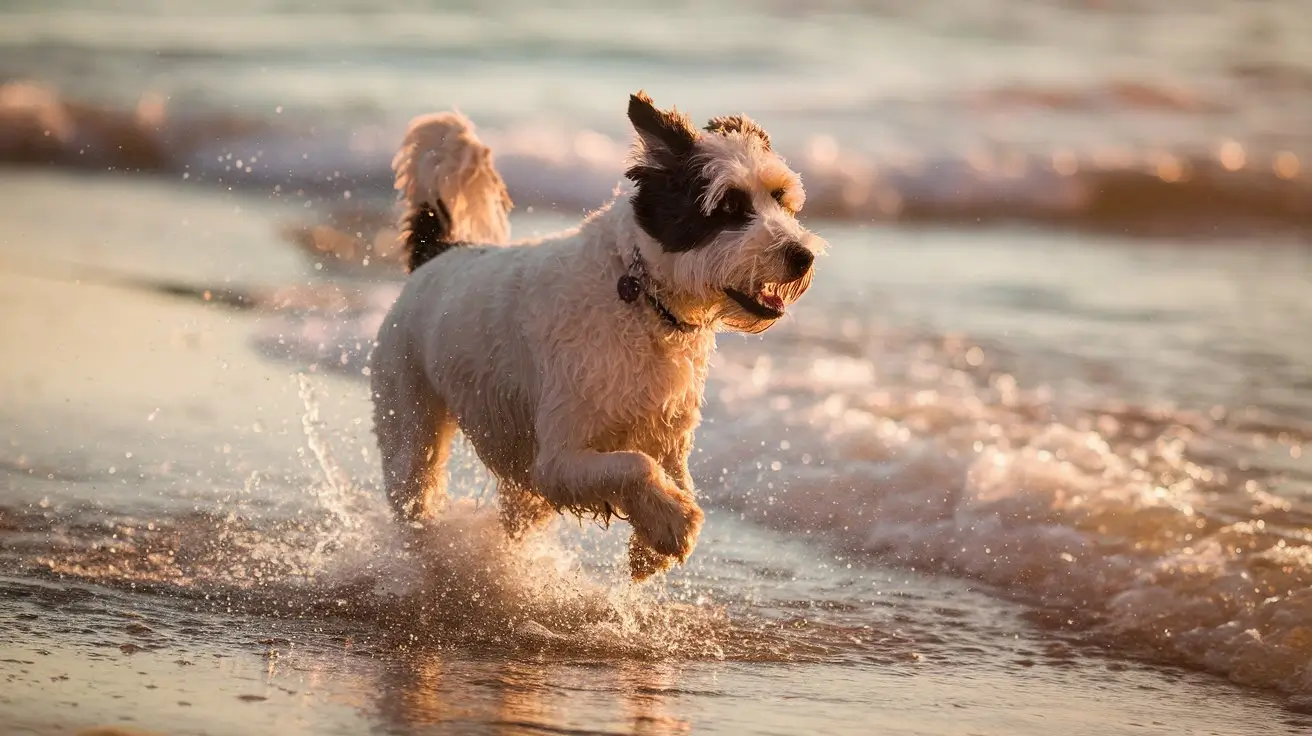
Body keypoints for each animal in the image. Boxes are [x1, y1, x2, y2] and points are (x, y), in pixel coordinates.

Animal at [369, 89, 818, 577]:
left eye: (780, 198)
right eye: (731, 207)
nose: (803, 256)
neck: (642, 299)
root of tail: (440, 253)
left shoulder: (665, 434)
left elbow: (671, 474)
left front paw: (652, 539)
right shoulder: (557, 460)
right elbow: (635, 466)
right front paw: (673, 521)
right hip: (409, 421)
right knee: (415, 487)